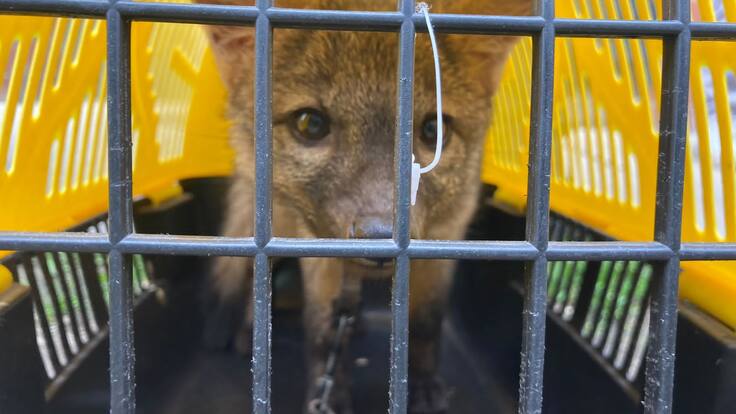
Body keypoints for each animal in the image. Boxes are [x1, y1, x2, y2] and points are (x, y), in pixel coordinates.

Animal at [196, 0, 531, 412]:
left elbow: (425, 323)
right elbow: (321, 331)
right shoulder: (314, 250)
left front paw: (422, 384)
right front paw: (328, 396)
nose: (380, 238)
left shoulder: (445, 239)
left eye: (433, 130)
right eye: (309, 124)